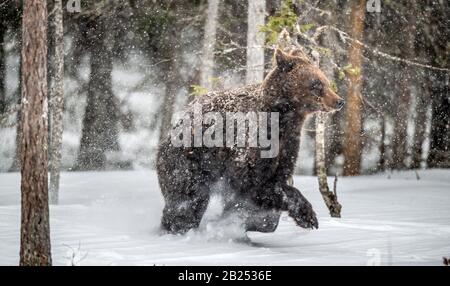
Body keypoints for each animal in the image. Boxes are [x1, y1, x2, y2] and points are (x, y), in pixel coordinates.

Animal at [156, 48, 342, 233]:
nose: (339, 101)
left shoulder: (288, 144)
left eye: (326, 81)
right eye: (316, 84)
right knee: (188, 200)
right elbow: (252, 184)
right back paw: (178, 228)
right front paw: (307, 215)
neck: (284, 119)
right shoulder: (250, 144)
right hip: (189, 161)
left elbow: (276, 178)